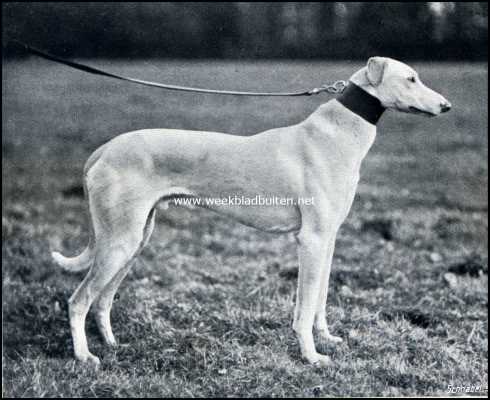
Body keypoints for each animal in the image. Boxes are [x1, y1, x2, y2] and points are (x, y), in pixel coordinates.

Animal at [52, 57, 452, 368]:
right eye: (411, 78)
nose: (447, 106)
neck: (338, 133)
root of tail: (104, 149)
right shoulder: (312, 240)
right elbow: (305, 307)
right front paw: (311, 356)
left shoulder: (329, 240)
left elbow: (321, 299)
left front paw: (328, 339)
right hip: (120, 241)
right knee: (79, 301)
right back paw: (84, 356)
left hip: (134, 240)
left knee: (103, 299)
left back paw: (111, 344)